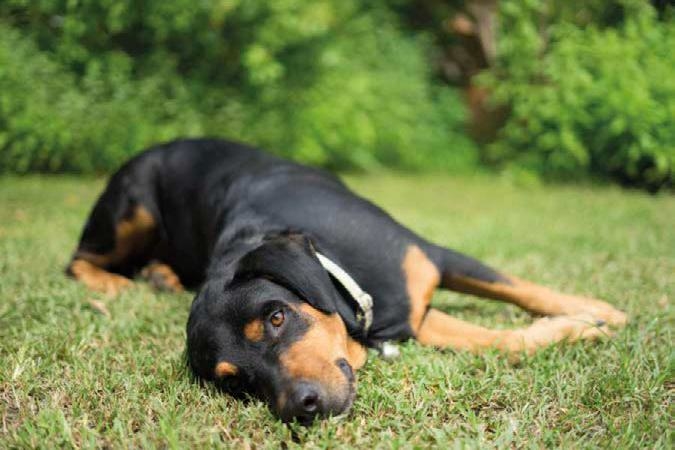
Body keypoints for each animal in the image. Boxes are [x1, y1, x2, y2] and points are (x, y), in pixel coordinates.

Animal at [66, 139, 624, 424]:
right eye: (235, 383)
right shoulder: (414, 319)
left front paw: (596, 310)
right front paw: (575, 326)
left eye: (276, 317)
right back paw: (124, 282)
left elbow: (517, 287)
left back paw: (151, 276)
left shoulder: (428, 264)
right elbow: (504, 342)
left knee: (78, 257)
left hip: (133, 202)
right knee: (77, 261)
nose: (301, 407)